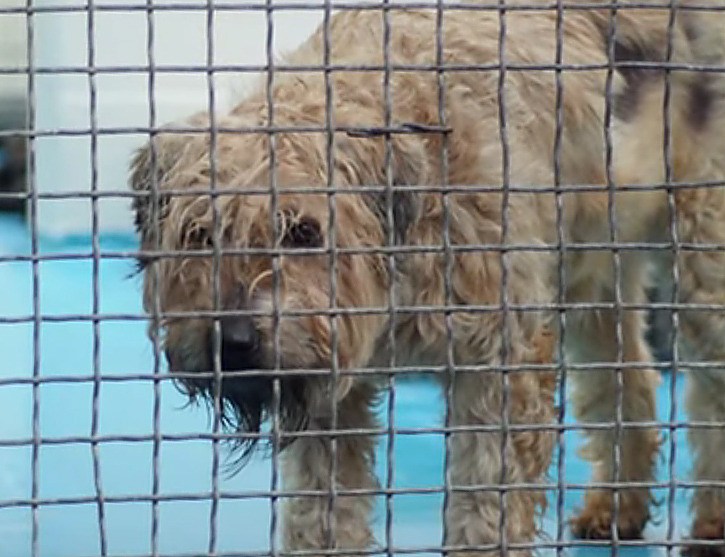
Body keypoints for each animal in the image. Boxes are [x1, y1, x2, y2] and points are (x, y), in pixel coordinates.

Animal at [127, 2, 724, 552]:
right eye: (200, 234)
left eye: (303, 231)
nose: (233, 341)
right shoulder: (330, 397)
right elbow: (320, 514)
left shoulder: (498, 369)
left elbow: (486, 509)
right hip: (594, 275)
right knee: (630, 382)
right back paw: (616, 508)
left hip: (702, 273)